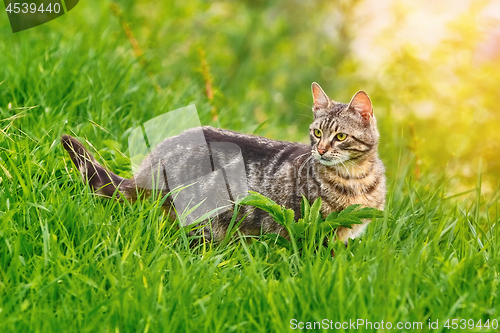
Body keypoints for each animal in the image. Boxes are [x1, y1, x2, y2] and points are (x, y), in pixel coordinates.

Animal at [60, 82, 384, 244]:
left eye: (340, 136)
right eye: (317, 132)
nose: (320, 149)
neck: (356, 178)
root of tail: (153, 162)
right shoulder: (310, 229)